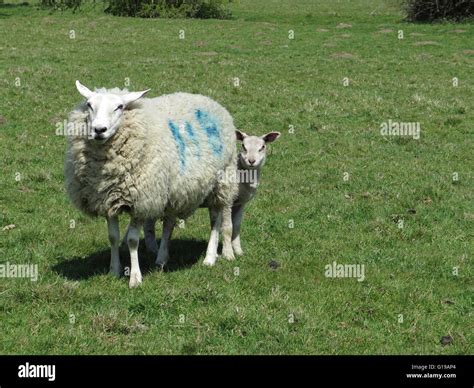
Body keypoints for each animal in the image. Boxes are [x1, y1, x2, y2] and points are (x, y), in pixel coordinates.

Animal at [65, 80, 239, 286]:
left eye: (120, 107)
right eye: (89, 105)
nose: (99, 130)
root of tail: (208, 99)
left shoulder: (141, 201)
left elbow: (132, 240)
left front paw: (135, 278)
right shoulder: (108, 200)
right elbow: (113, 237)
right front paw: (114, 270)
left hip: (220, 182)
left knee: (215, 220)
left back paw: (210, 257)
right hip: (173, 190)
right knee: (169, 223)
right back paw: (161, 258)